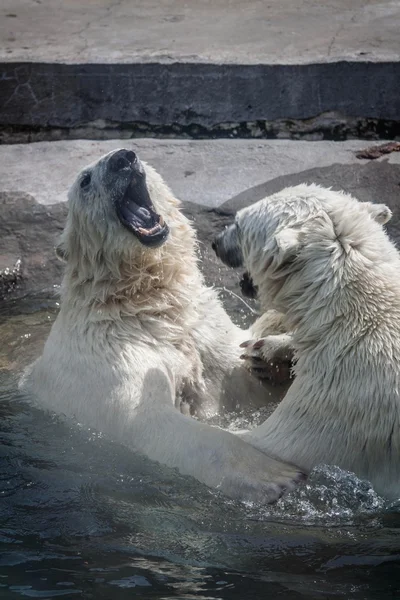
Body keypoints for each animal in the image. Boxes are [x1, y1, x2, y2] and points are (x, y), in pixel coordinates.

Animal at [20, 148, 304, 504]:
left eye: (137, 155)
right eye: (85, 180)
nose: (122, 159)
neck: (144, 302)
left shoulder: (201, 327)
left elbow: (240, 379)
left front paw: (269, 359)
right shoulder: (110, 356)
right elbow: (148, 419)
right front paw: (274, 475)